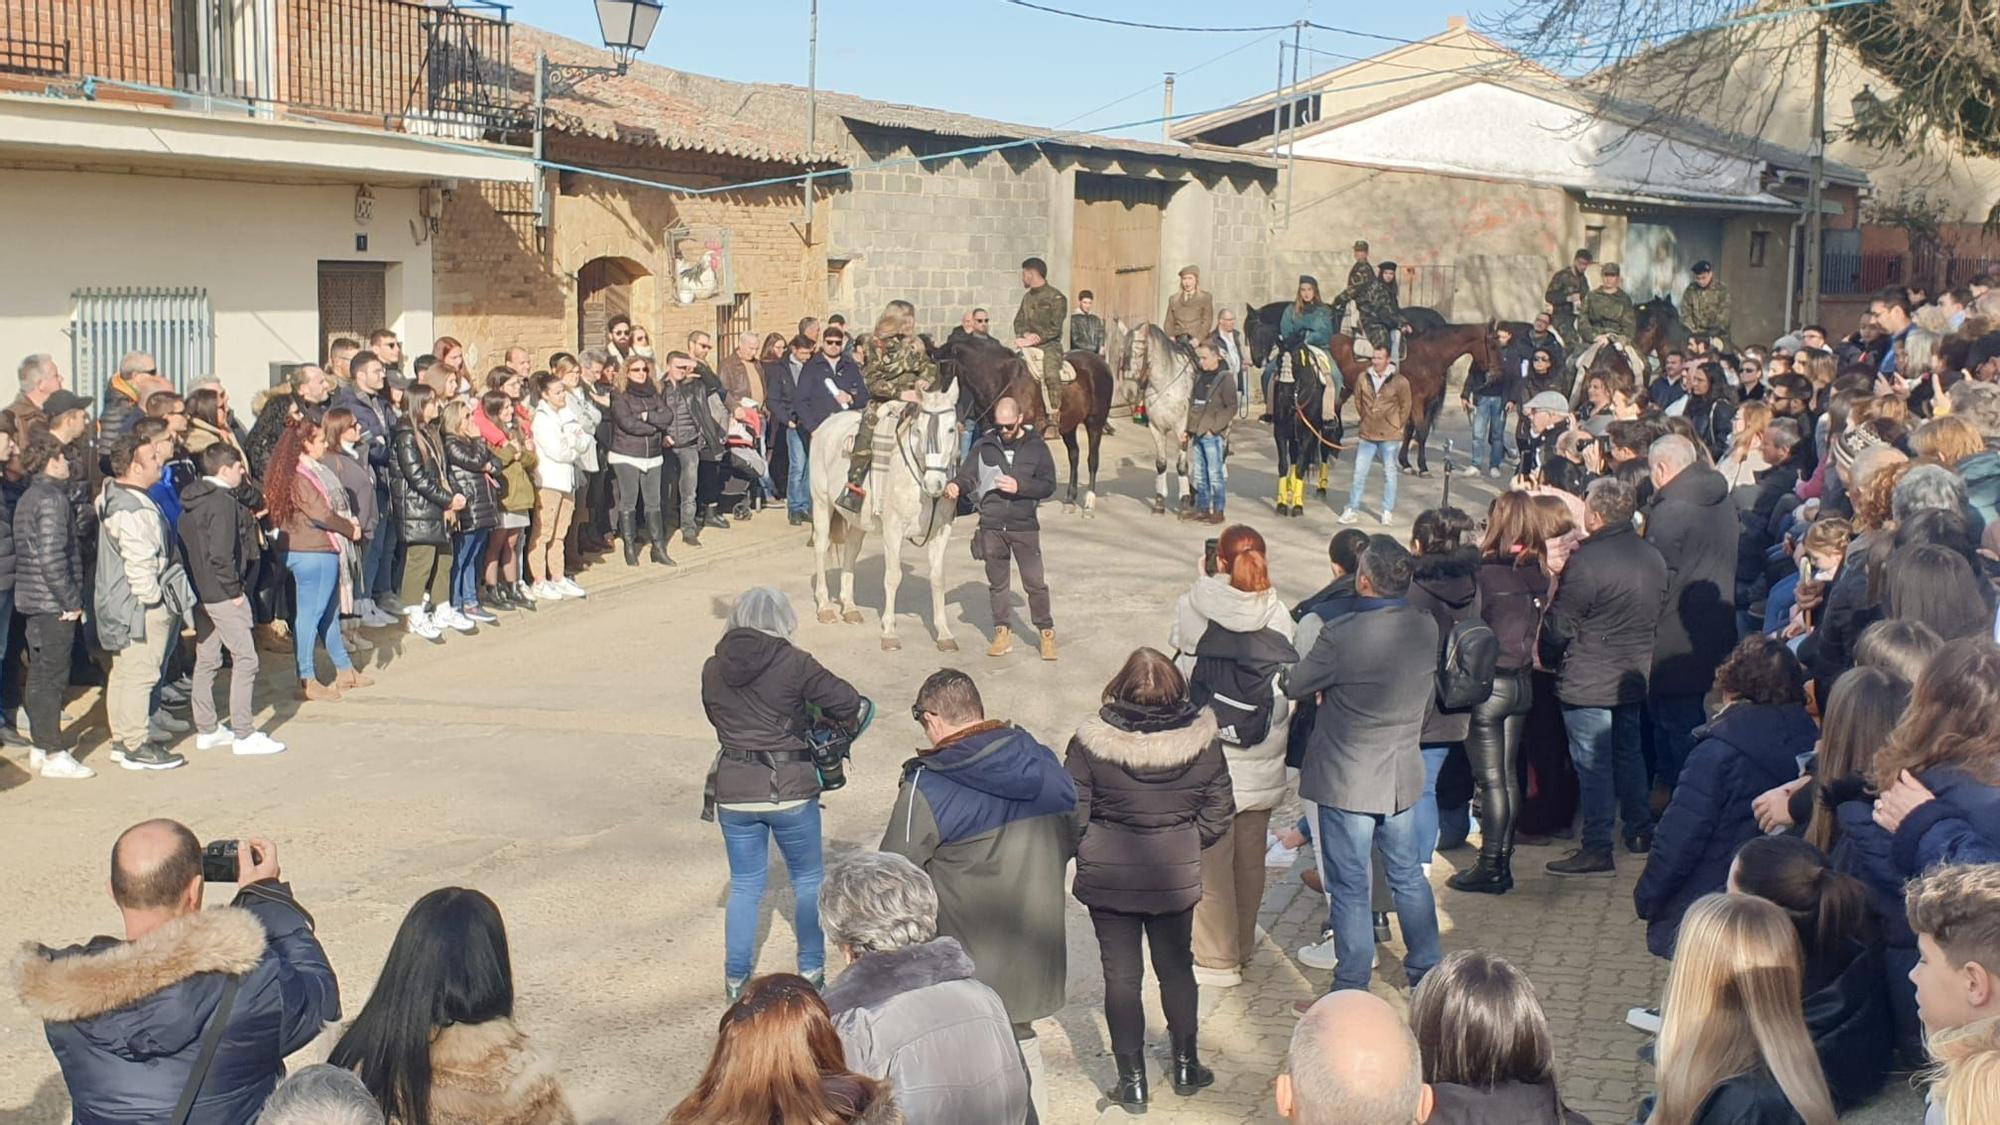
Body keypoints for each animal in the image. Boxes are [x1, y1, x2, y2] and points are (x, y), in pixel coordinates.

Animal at [1120, 320, 1192, 512]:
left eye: (1138, 353)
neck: (1165, 385)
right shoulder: (1156, 428)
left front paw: (1184, 501)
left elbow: (1181, 466)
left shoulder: (1182, 430)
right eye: (1122, 354)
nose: (1128, 392)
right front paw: (1159, 501)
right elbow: (1161, 464)